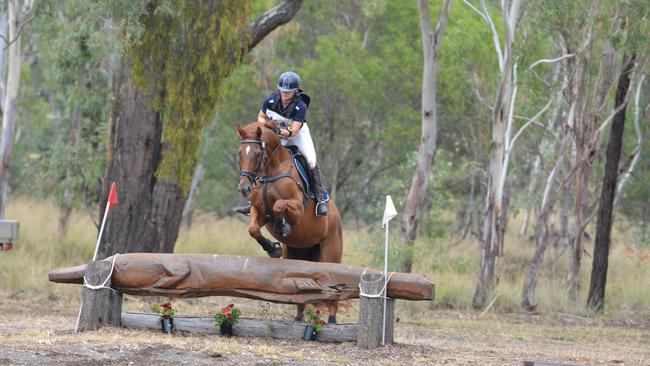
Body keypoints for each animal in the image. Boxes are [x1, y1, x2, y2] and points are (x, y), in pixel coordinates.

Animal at [234, 122, 344, 324]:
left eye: (257, 154)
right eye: (240, 153)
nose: (244, 188)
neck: (271, 170)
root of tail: (337, 216)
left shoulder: (297, 208)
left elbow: (279, 206)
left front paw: (282, 226)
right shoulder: (258, 211)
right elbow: (253, 229)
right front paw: (273, 248)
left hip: (331, 250)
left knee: (334, 291)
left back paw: (332, 321)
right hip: (297, 253)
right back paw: (298, 317)